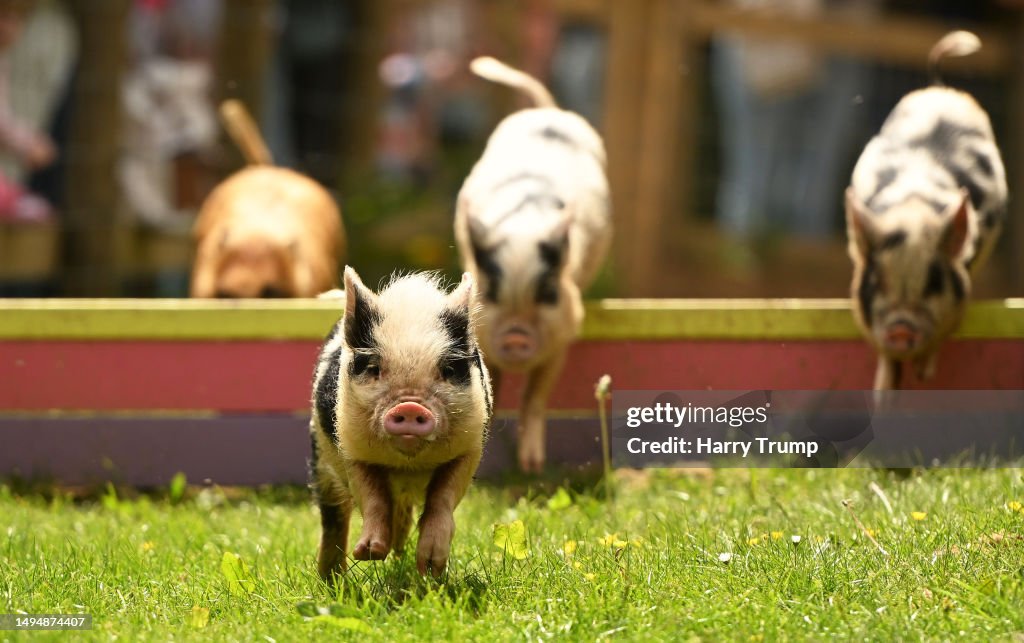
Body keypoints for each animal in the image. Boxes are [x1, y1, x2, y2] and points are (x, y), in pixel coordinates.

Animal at [309, 267, 492, 580]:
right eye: (374, 369)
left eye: (447, 369)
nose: (409, 405)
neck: (408, 464)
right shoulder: (351, 449)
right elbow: (373, 497)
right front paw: (369, 553)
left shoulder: (469, 448)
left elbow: (442, 498)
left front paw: (430, 567)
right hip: (321, 463)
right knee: (334, 516)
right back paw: (332, 578)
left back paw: (398, 552)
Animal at [454, 56, 611, 473]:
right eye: (489, 293)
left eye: (548, 293)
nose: (516, 335)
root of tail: (546, 111)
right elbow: (489, 389)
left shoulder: (564, 330)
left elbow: (536, 395)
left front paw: (531, 466)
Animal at [846, 31, 1007, 390]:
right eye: (877, 281)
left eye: (934, 282)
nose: (901, 327)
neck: (913, 210)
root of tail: (940, 88)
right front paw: (883, 394)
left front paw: (924, 375)